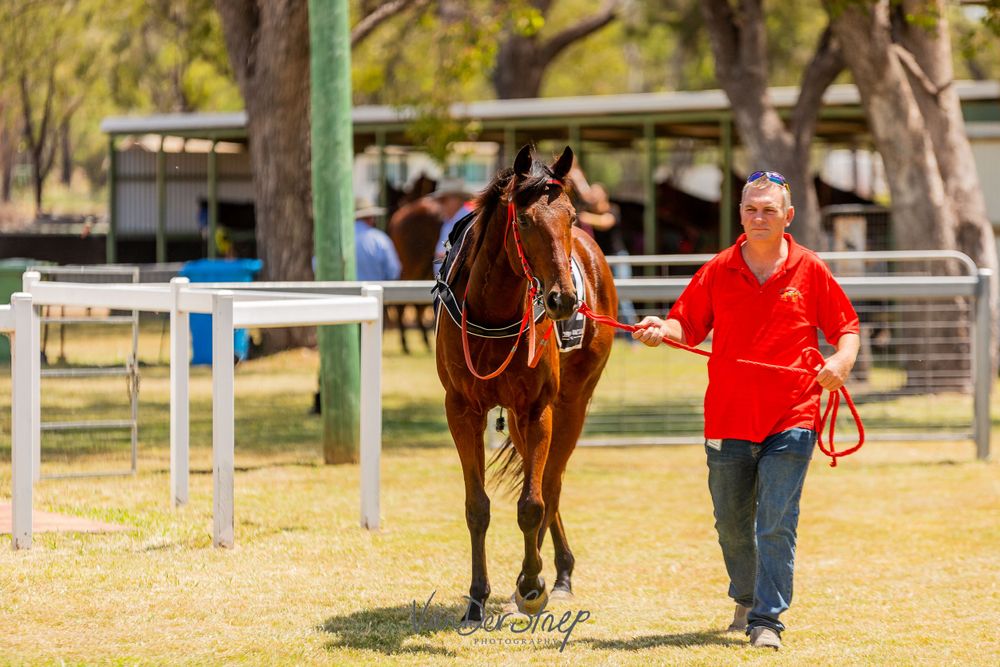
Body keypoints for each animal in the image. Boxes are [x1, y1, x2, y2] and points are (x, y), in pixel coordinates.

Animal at [435, 145, 617, 621]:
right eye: (524, 221)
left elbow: (533, 503)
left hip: (571, 403)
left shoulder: (538, 409)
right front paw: (476, 598)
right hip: (518, 420)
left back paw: (558, 576)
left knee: (550, 485)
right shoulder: (461, 409)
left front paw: (532, 583)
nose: (564, 299)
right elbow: (477, 507)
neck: (493, 312)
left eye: (571, 216)